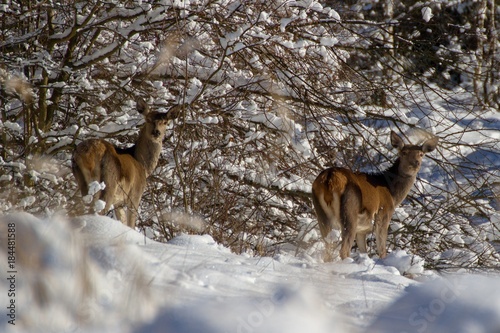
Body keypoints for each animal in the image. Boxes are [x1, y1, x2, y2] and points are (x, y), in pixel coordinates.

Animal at [70, 98, 180, 228]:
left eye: (165, 122)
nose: (156, 132)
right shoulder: (135, 194)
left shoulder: (119, 203)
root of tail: (87, 154)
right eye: (148, 119)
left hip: (82, 180)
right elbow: (131, 224)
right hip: (109, 182)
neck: (143, 166)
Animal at [312, 130, 438, 260]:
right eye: (404, 153)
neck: (392, 194)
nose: (415, 163)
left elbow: (364, 251)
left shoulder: (361, 230)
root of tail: (329, 178)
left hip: (321, 213)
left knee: (327, 248)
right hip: (349, 211)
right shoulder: (384, 214)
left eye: (421, 154)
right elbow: (382, 250)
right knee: (343, 250)